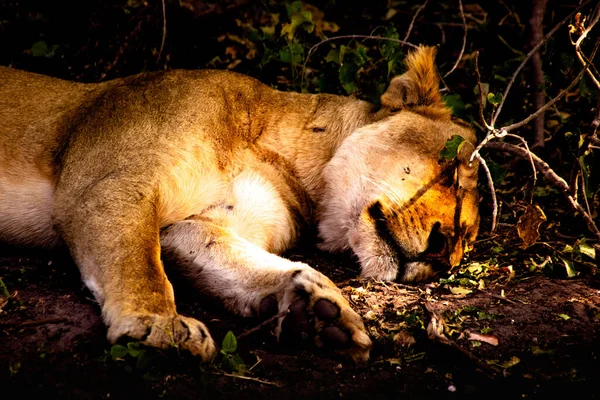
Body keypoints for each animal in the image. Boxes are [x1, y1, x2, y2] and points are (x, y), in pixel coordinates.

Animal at [0, 46, 478, 362]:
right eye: (452, 171)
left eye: (467, 243)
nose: (443, 258)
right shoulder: (104, 184)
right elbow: (137, 262)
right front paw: (157, 325)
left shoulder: (192, 227)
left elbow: (241, 261)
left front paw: (321, 313)